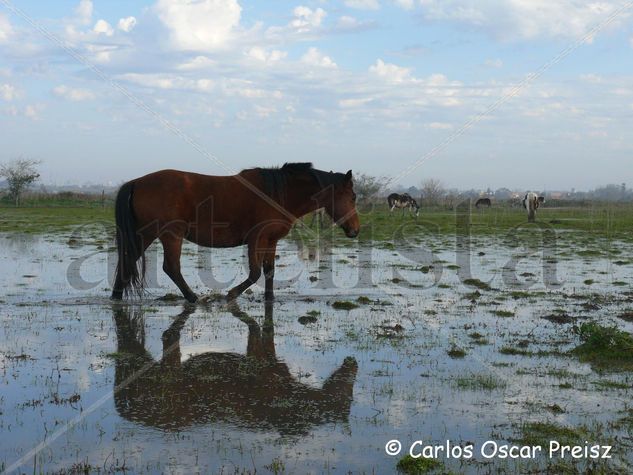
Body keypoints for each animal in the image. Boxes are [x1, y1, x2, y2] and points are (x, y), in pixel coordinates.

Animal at [110, 164, 358, 304]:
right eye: (354, 197)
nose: (356, 229)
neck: (277, 193)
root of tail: (136, 182)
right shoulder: (256, 238)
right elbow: (255, 273)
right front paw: (231, 294)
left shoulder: (271, 240)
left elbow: (269, 271)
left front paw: (270, 299)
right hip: (171, 235)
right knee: (171, 267)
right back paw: (193, 298)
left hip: (145, 234)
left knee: (127, 261)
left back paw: (116, 296)